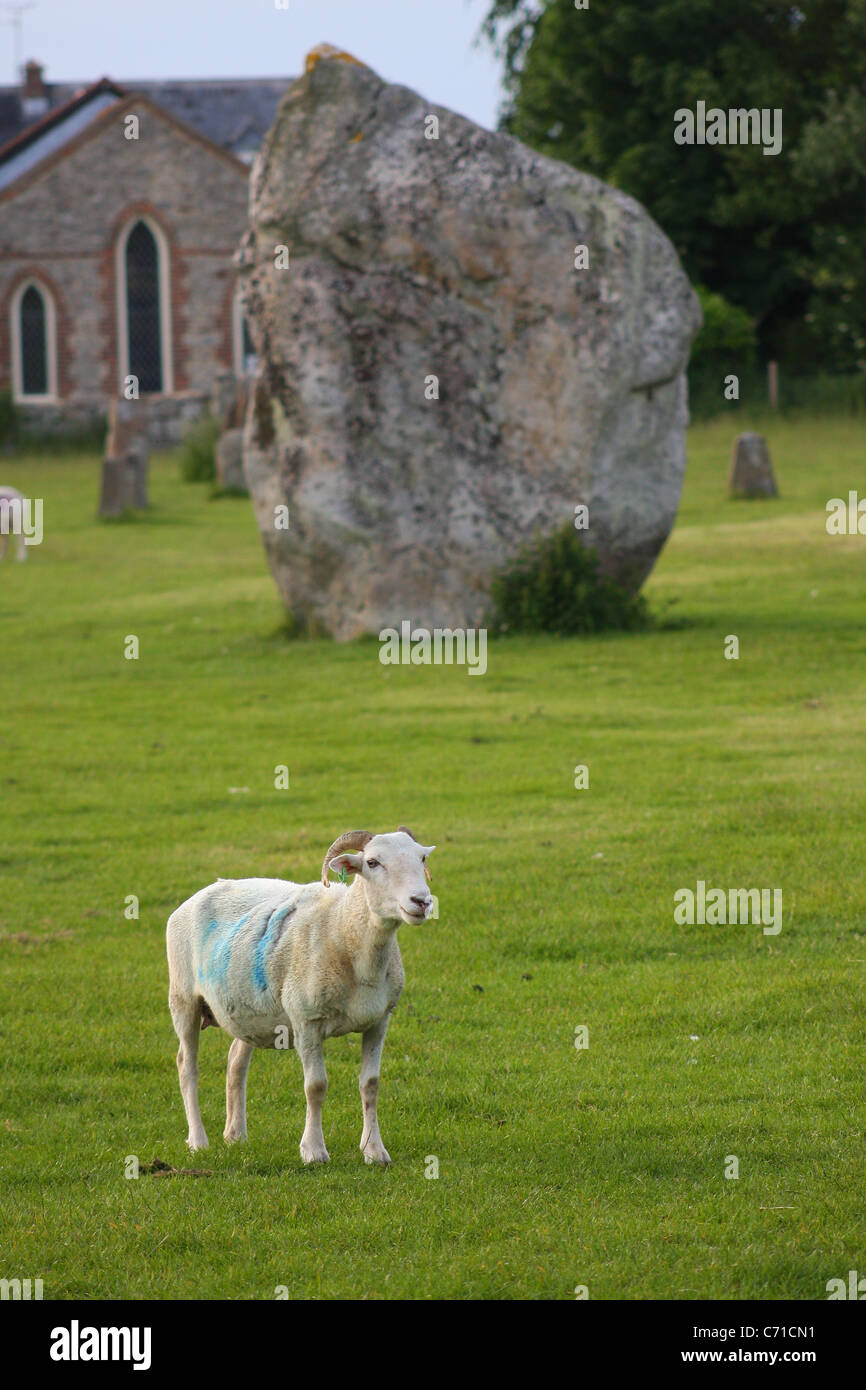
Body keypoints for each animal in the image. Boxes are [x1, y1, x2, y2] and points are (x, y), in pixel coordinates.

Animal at [166, 822, 436, 1162]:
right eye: (372, 862)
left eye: (421, 858)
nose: (421, 901)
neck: (343, 928)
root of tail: (202, 892)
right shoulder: (307, 1021)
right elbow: (315, 1086)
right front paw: (314, 1151)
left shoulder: (379, 1020)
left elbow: (371, 1085)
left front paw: (374, 1150)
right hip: (183, 998)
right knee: (186, 1065)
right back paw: (198, 1141)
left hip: (247, 1009)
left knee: (236, 1061)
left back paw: (236, 1135)